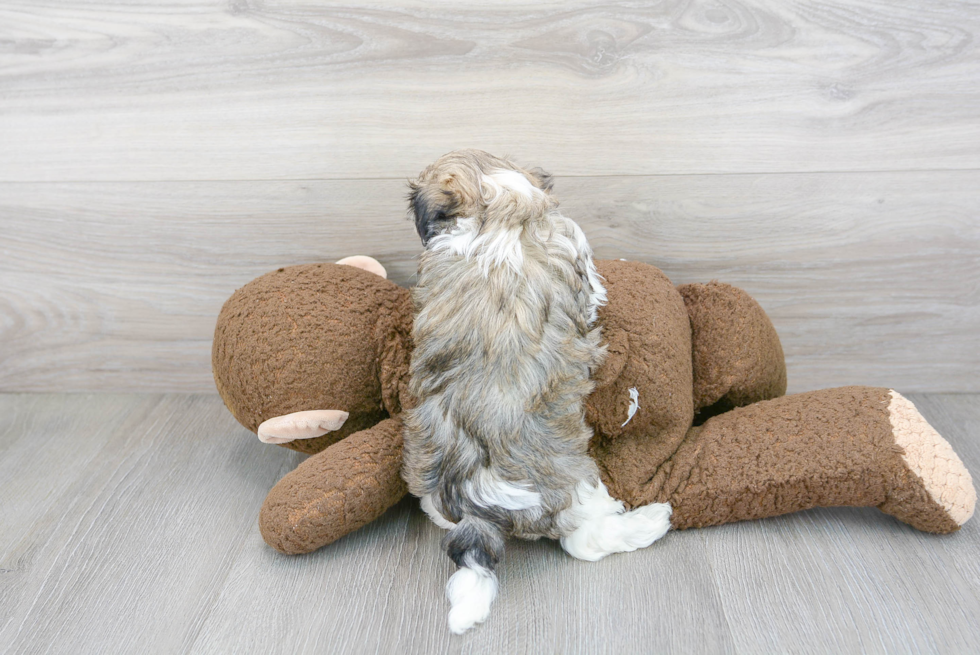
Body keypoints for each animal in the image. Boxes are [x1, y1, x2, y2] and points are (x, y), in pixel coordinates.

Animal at [402, 150, 668, 636]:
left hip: (424, 471)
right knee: (586, 540)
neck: (497, 213)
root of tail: (479, 503)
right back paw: (649, 522)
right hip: (578, 486)